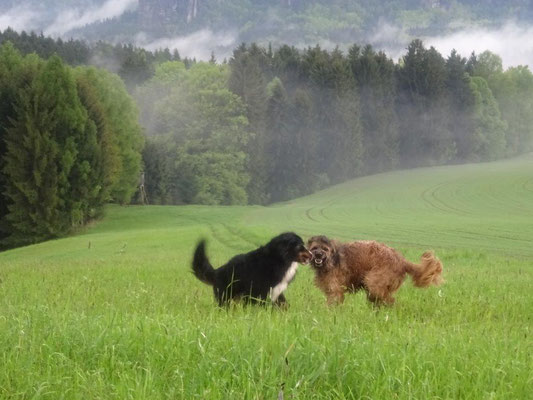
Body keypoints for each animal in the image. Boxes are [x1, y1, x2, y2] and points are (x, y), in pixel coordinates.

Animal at [306, 234, 442, 306]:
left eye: (325, 249)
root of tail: (401, 260)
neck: (331, 258)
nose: (318, 255)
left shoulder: (335, 289)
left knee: (389, 300)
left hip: (374, 281)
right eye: (315, 248)